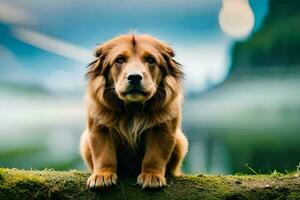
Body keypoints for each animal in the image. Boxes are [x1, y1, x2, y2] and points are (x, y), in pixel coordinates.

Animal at [79, 33, 188, 188]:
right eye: (119, 59)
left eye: (150, 60)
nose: (134, 77)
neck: (133, 107)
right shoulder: (99, 127)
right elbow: (103, 154)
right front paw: (102, 175)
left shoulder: (163, 127)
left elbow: (155, 156)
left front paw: (152, 176)